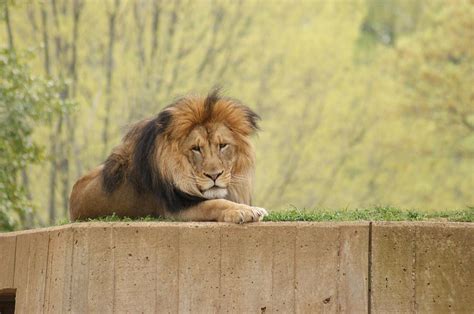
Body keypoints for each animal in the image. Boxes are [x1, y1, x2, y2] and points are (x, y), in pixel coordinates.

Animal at [67, 89, 266, 224]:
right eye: (196, 148)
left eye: (223, 145)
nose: (214, 175)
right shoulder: (175, 209)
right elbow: (215, 203)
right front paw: (246, 211)